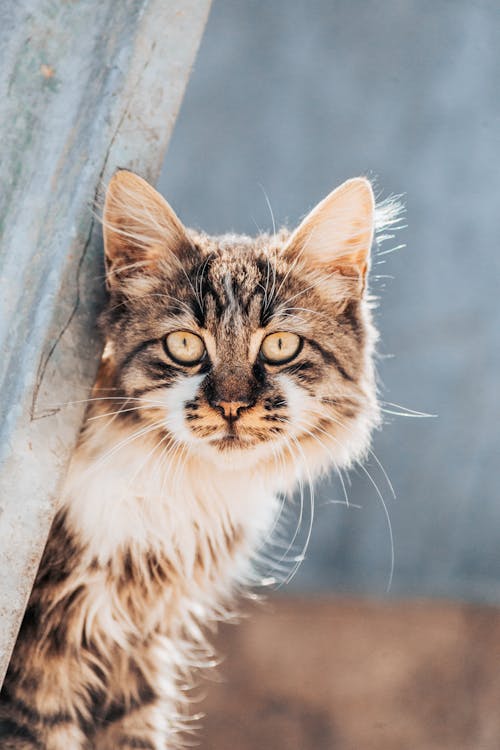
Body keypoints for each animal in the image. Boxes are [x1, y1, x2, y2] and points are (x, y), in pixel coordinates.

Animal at [0, 172, 386, 750]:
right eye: (184, 345)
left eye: (280, 346)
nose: (231, 406)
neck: (177, 492)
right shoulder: (47, 646)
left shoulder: (139, 643)